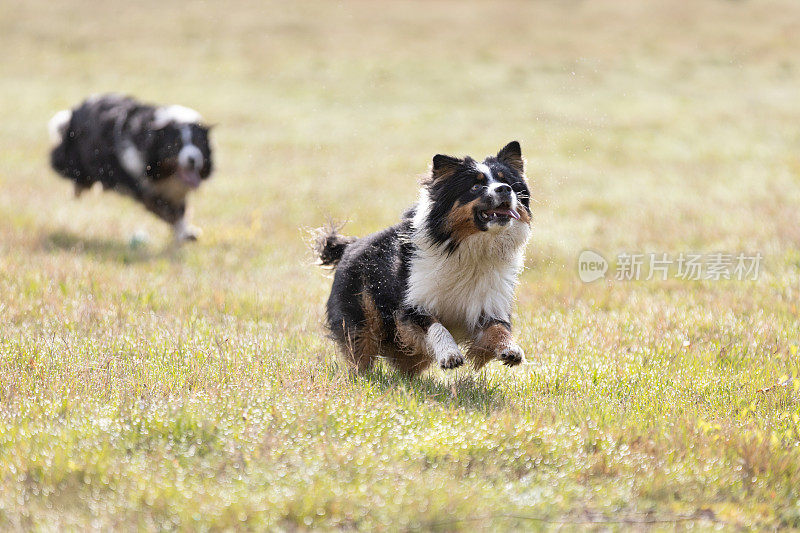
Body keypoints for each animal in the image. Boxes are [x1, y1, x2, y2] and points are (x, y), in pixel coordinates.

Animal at [48, 94, 212, 241]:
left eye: (199, 143)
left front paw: (185, 231)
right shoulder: (143, 187)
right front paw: (183, 233)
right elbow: (168, 211)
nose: (193, 160)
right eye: (175, 145)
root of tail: (78, 108)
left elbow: (179, 209)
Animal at [318, 141, 532, 374]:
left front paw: (511, 350)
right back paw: (363, 377)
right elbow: (436, 326)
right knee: (361, 348)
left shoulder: (489, 303)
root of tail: (349, 246)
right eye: (475, 186)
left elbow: (498, 329)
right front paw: (450, 355)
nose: (505, 189)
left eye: (507, 181)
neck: (467, 248)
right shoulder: (412, 302)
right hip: (362, 310)